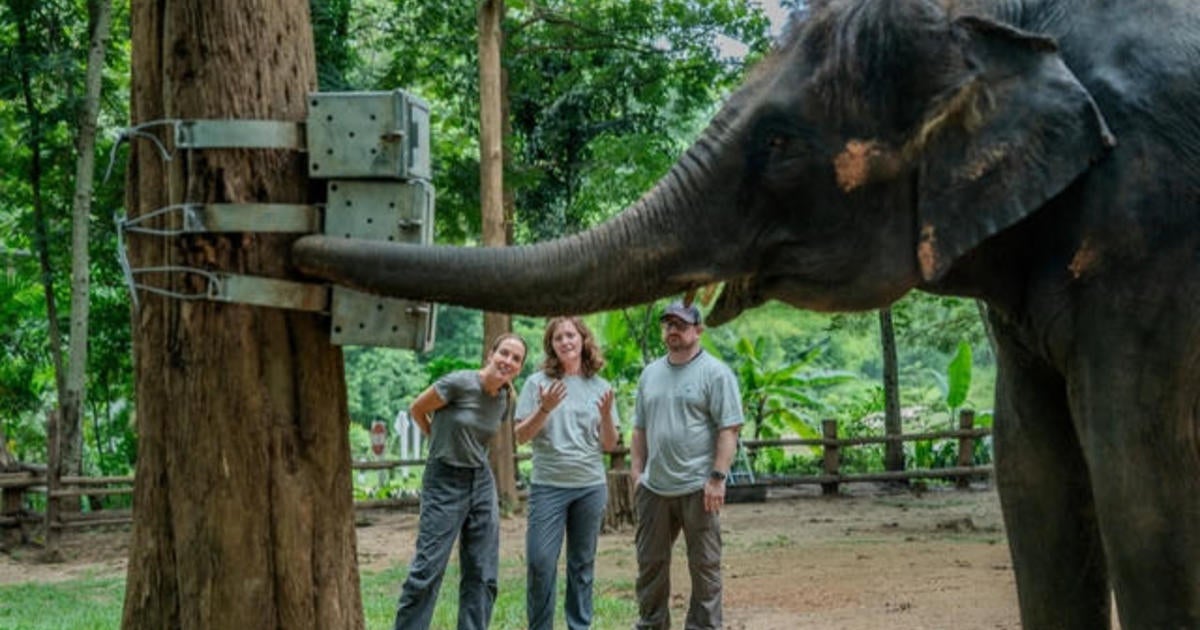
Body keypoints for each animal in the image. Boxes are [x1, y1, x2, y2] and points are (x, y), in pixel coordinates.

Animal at [292, 0, 1200, 624]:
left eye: (779, 144)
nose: (296, 244)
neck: (1007, 17)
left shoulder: (1150, 222)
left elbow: (1141, 483)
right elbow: (1033, 474)